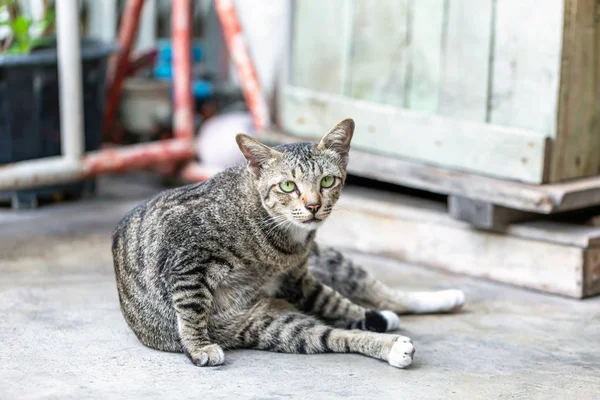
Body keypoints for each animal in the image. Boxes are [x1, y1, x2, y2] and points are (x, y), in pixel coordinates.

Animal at [115, 119, 466, 368]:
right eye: (287, 185)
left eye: (327, 180)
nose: (313, 206)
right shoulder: (185, 259)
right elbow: (190, 307)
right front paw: (198, 346)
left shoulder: (297, 277)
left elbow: (337, 302)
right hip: (271, 327)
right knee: (335, 334)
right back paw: (391, 343)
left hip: (313, 280)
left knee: (368, 300)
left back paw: (428, 304)